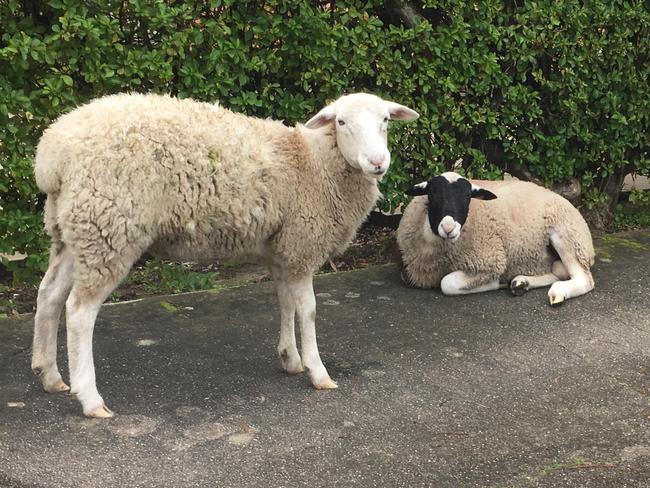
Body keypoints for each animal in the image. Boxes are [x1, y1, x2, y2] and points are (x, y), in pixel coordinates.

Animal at [30, 92, 418, 420]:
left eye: (385, 119)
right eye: (341, 122)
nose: (377, 162)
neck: (314, 162)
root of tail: (52, 153)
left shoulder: (281, 249)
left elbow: (285, 304)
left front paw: (290, 359)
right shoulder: (301, 245)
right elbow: (307, 311)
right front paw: (317, 371)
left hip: (72, 230)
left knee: (49, 295)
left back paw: (49, 375)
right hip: (109, 227)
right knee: (79, 312)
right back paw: (90, 398)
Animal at [392, 173, 596, 304]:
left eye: (468, 196)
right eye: (432, 193)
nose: (448, 228)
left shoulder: (490, 261)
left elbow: (447, 284)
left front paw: (496, 283)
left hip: (568, 236)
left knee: (584, 280)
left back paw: (558, 291)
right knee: (558, 271)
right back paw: (521, 283)